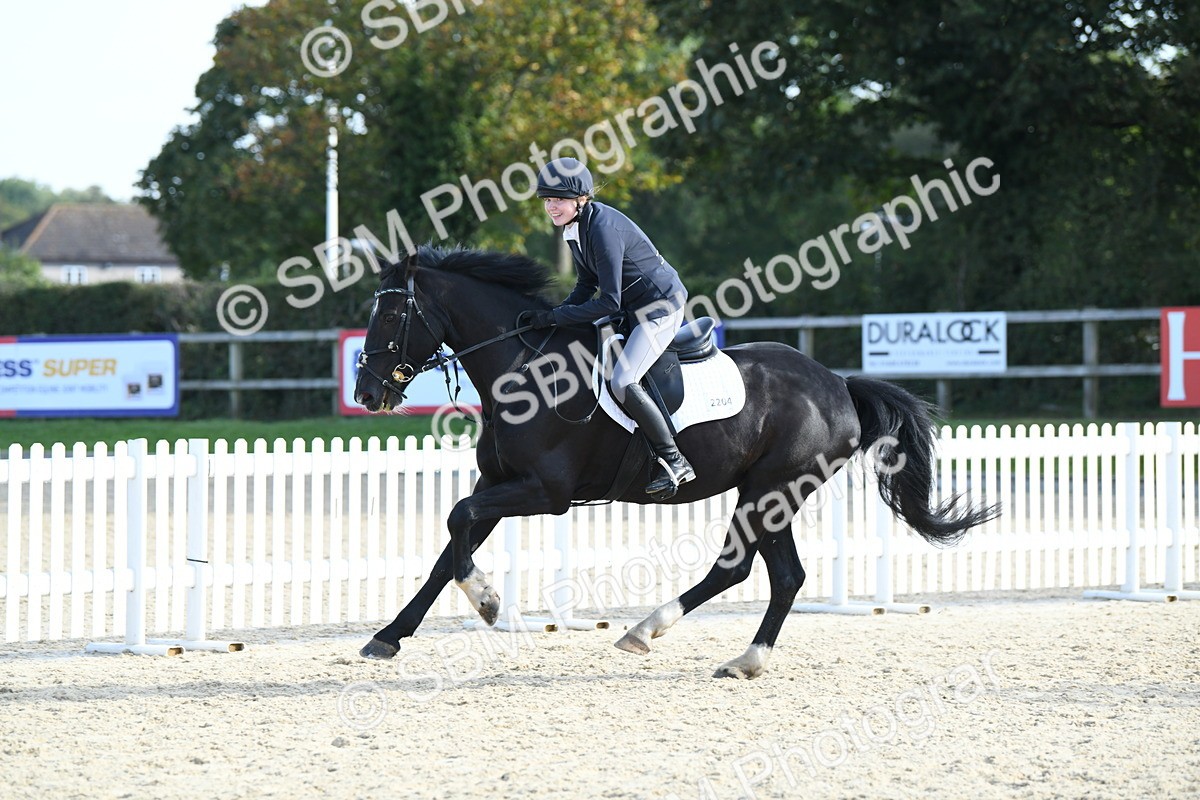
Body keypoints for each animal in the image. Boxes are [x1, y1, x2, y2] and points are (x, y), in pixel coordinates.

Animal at [353, 245, 998, 679]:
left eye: (391, 316)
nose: (366, 392)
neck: (525, 367)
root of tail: (838, 384)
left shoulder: (545, 492)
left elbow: (458, 520)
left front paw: (486, 600)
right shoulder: (501, 481)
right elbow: (448, 550)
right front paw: (389, 637)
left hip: (770, 490)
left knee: (745, 569)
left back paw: (660, 634)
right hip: (768, 493)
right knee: (777, 574)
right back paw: (731, 656)